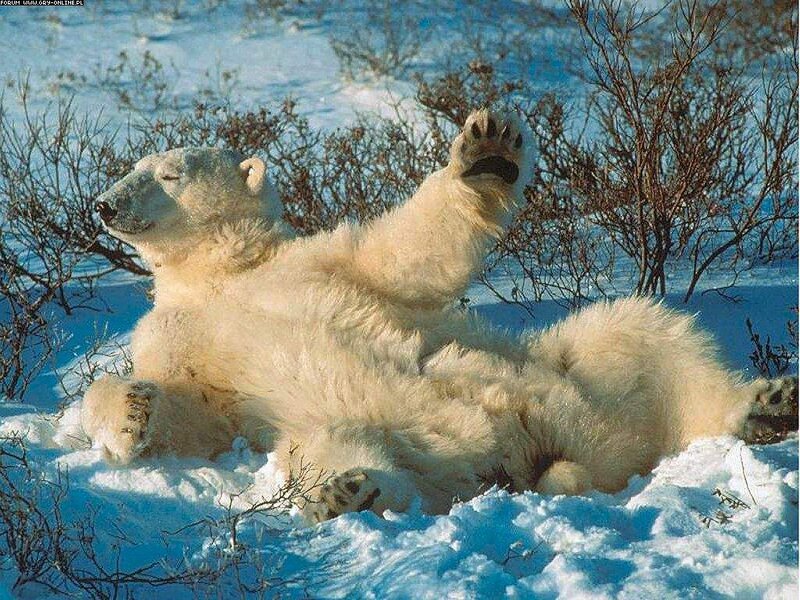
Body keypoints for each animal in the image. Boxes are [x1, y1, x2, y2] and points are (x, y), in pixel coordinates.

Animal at [81, 109, 798, 523]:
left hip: (574, 377)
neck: (222, 273)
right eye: (131, 167)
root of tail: (530, 453)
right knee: (332, 447)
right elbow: (192, 412)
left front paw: (488, 154)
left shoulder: (319, 261)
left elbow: (406, 255)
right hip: (400, 436)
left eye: (168, 173)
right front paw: (134, 408)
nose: (104, 204)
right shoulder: (182, 338)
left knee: (644, 336)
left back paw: (761, 406)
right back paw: (350, 491)